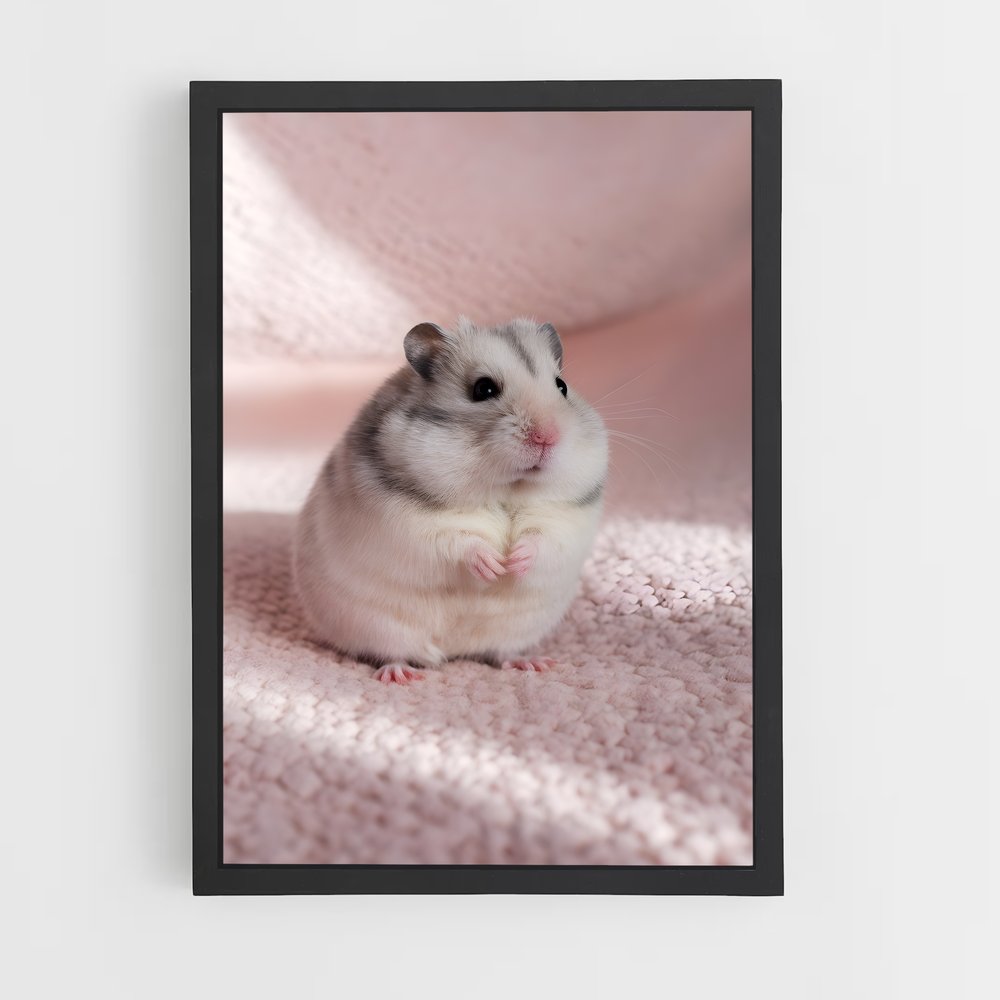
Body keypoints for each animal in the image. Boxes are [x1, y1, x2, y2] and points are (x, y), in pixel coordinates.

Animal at [292, 316, 609, 684]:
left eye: (562, 386)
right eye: (483, 389)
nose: (548, 437)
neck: (504, 490)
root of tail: (455, 651)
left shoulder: (566, 519)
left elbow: (542, 540)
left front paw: (512, 562)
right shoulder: (409, 525)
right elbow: (458, 541)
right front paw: (494, 565)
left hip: (517, 630)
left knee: (502, 652)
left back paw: (533, 663)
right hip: (377, 626)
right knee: (392, 653)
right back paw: (401, 676)